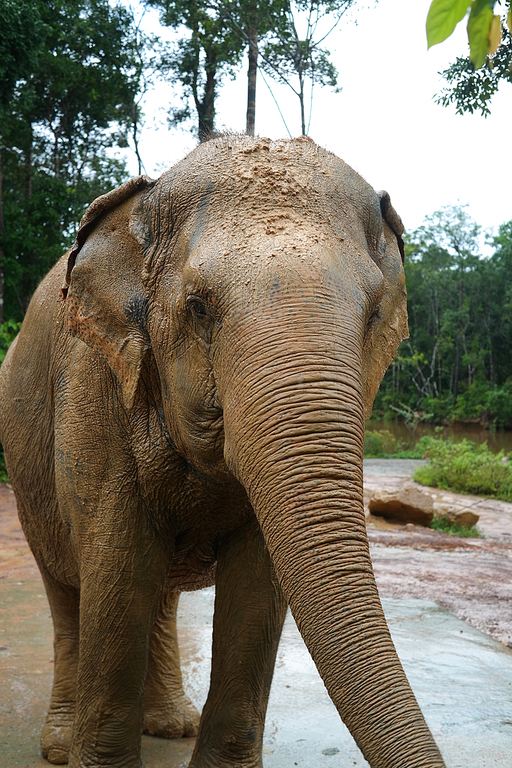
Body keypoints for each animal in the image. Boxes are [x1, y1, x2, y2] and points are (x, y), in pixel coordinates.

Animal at [0, 135, 444, 764]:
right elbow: (117, 565)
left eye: (373, 313)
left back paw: (172, 725)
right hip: (25, 461)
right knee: (66, 587)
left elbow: (257, 583)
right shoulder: (96, 384)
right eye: (198, 307)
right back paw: (61, 746)